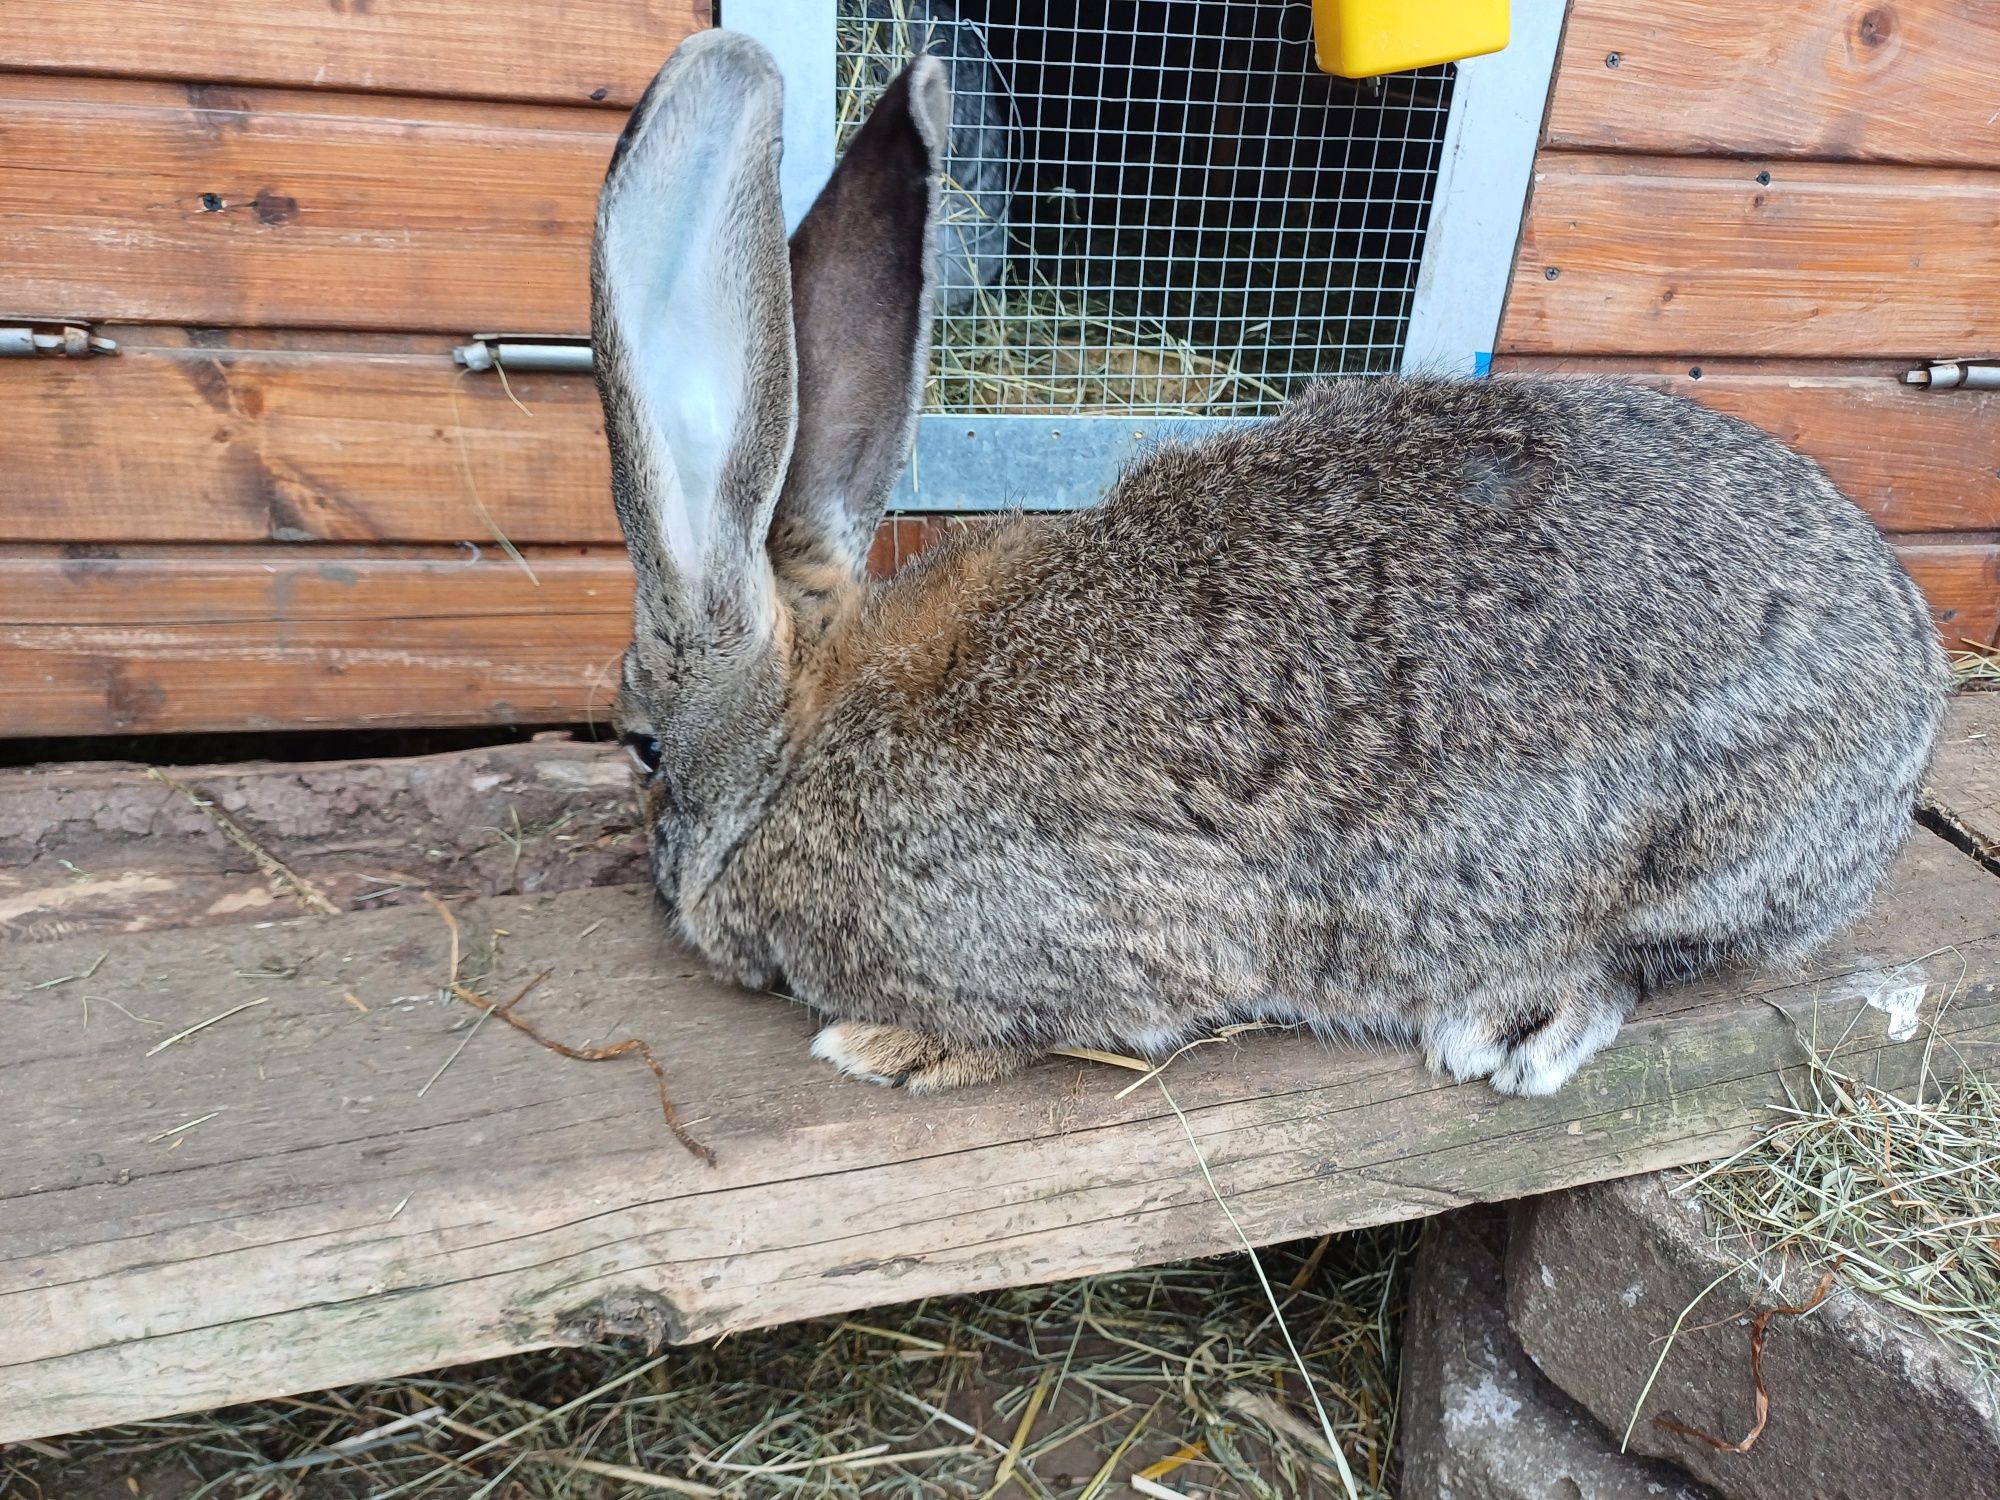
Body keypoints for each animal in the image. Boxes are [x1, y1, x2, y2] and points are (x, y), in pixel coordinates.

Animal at [584, 29, 1944, 1096]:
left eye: (641, 745)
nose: (653, 886)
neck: (805, 740)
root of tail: (1914, 671)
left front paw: (884, 1046)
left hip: (1701, 858)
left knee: (1651, 958)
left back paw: (1517, 1018)